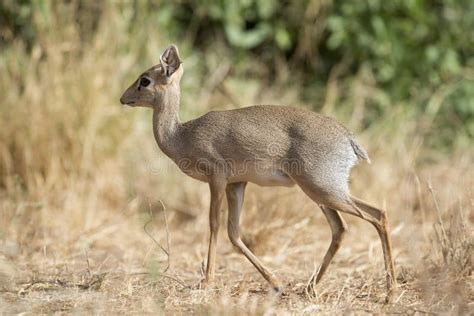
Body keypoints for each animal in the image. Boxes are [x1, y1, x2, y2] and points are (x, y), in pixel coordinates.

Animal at [119, 43, 396, 296]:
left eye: (145, 80)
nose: (123, 98)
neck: (181, 135)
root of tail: (349, 139)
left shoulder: (217, 177)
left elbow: (214, 225)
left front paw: (206, 282)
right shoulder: (237, 183)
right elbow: (234, 233)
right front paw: (275, 282)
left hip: (323, 189)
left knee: (376, 216)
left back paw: (390, 290)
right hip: (324, 192)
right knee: (345, 226)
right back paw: (311, 287)